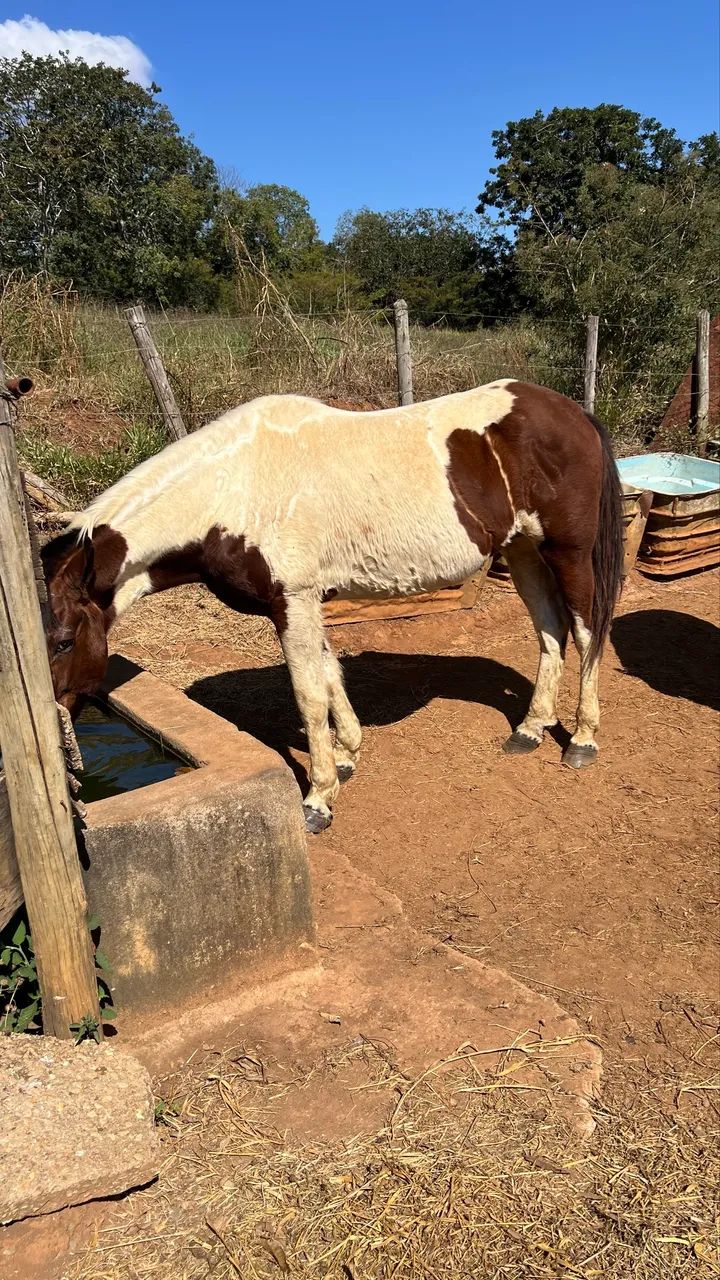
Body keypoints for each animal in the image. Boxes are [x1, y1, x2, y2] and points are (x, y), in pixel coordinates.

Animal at [41, 379, 624, 833]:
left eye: (64, 641)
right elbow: (328, 675)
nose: (58, 735)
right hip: (521, 548)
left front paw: (318, 799)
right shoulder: (307, 604)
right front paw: (346, 757)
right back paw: (530, 727)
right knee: (550, 629)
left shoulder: (293, 601)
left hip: (568, 552)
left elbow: (307, 693)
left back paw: (582, 739)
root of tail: (574, 412)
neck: (233, 490)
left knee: (587, 632)